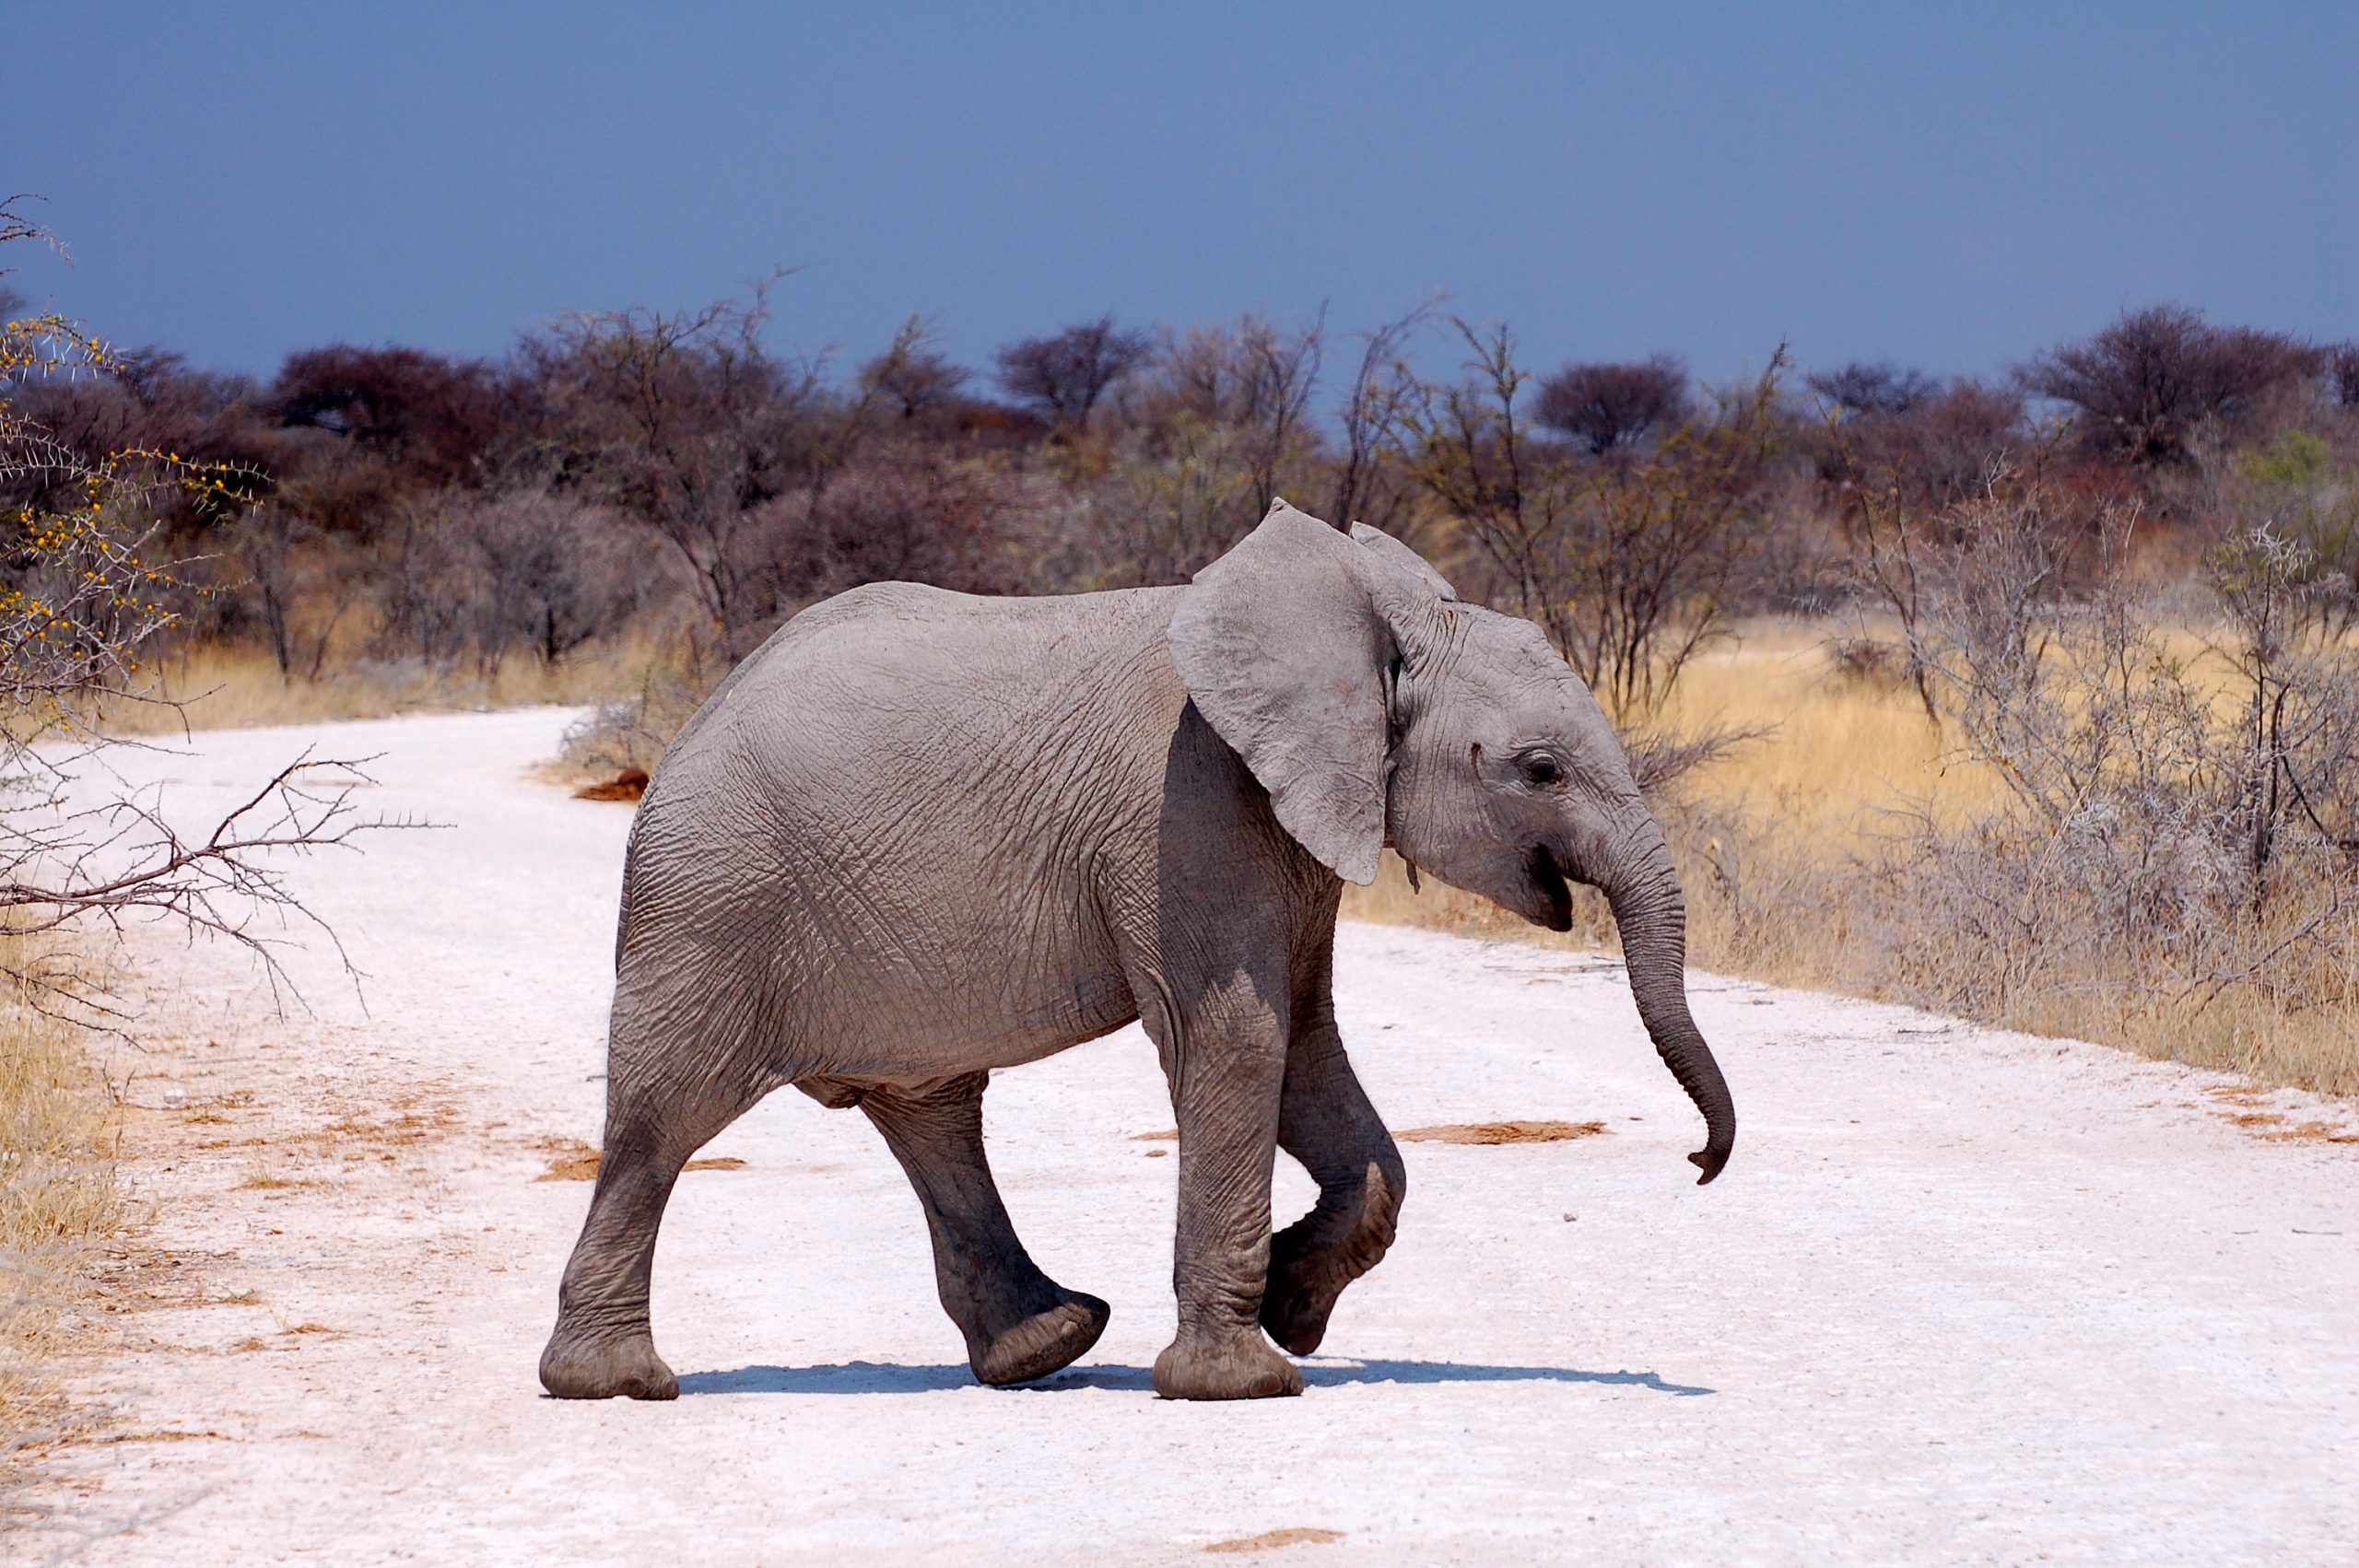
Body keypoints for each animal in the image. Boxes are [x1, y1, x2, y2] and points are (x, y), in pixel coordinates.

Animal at [539, 499, 1735, 1403]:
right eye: (1539, 770)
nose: (1697, 1162)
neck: (1360, 621)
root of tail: (690, 725)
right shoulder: (1187, 807)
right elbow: (1238, 1037)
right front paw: (1246, 1382)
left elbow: (1308, 1047)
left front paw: (1296, 1305)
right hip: (714, 894)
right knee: (666, 1116)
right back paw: (616, 1383)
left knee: (930, 1111)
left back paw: (1048, 1345)